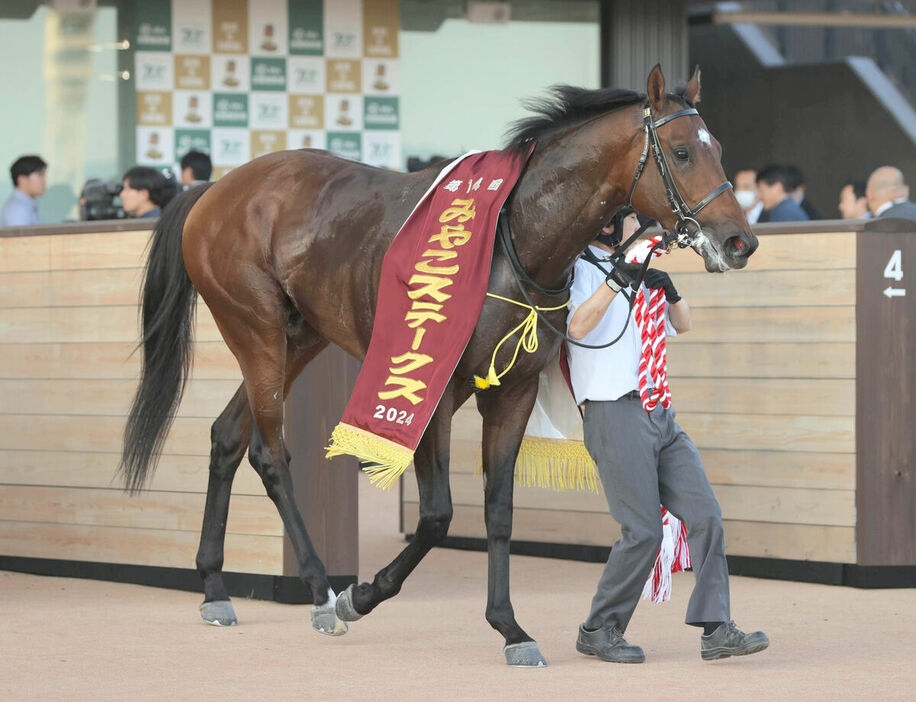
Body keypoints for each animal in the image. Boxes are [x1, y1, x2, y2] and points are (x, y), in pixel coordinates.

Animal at [118, 67, 756, 672]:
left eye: (719, 147)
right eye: (681, 152)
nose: (739, 241)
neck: (513, 238)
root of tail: (217, 189)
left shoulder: (513, 392)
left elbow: (498, 510)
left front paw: (510, 628)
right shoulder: (433, 388)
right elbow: (435, 516)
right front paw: (361, 596)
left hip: (301, 336)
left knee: (227, 435)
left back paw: (213, 586)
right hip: (255, 329)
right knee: (269, 454)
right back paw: (322, 592)